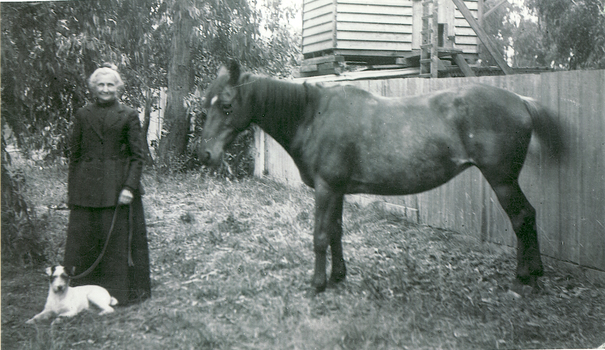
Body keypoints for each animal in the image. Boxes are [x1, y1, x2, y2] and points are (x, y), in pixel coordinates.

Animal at [198, 60, 560, 292]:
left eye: (227, 105)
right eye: (206, 104)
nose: (206, 154)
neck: (312, 115)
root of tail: (521, 101)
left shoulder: (325, 189)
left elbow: (320, 236)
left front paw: (317, 284)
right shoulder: (337, 190)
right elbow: (336, 232)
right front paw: (338, 276)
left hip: (502, 181)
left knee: (523, 217)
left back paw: (525, 279)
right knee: (527, 217)